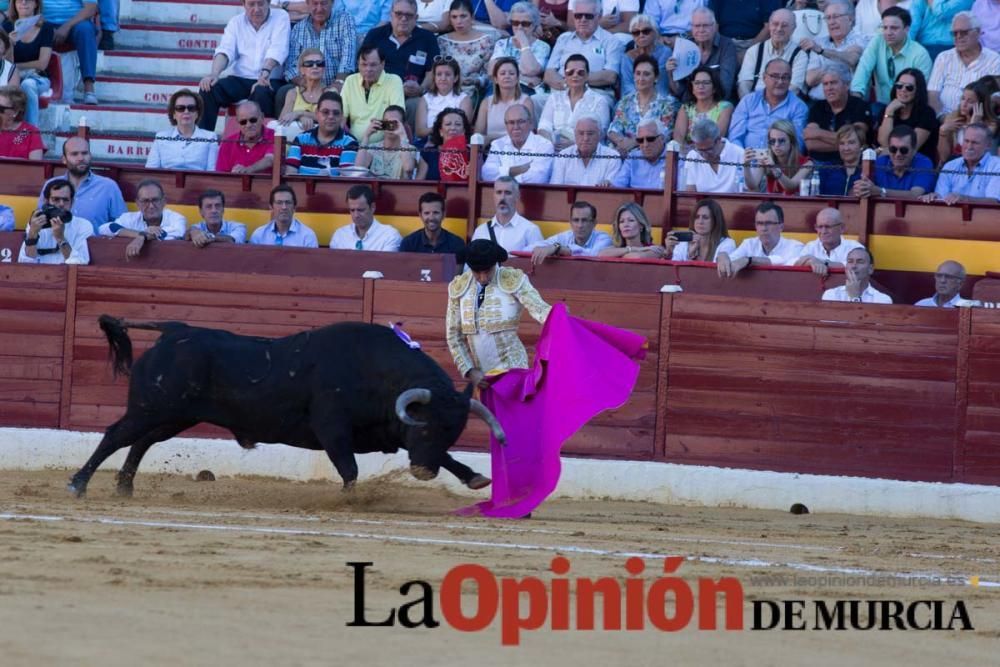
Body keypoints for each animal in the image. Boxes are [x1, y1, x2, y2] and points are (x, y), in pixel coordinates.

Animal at [68, 316, 508, 498]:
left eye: (452, 430)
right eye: (425, 425)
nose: (422, 472)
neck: (378, 371)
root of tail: (174, 331)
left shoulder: (388, 431)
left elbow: (448, 457)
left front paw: (474, 478)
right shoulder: (333, 427)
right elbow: (348, 467)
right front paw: (350, 500)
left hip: (175, 415)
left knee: (141, 443)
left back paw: (124, 487)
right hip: (150, 408)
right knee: (116, 435)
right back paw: (79, 483)